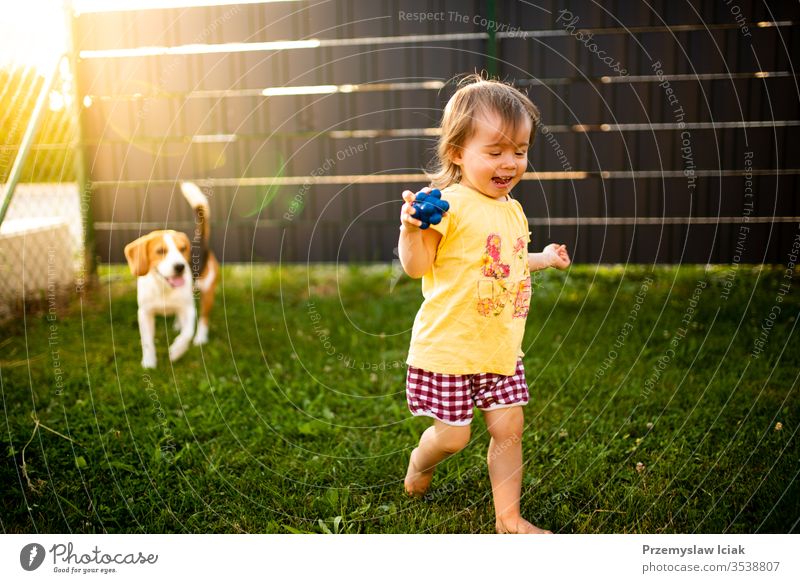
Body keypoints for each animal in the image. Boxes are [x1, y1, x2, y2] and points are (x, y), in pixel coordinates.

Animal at [124, 180, 219, 368]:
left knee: (203, 318)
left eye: (183, 249)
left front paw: (176, 351)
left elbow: (186, 334)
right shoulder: (144, 313)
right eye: (160, 251)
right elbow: (147, 341)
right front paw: (149, 363)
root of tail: (200, 240)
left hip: (207, 291)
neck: (164, 287)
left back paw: (200, 338)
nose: (180, 267)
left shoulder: (189, 309)